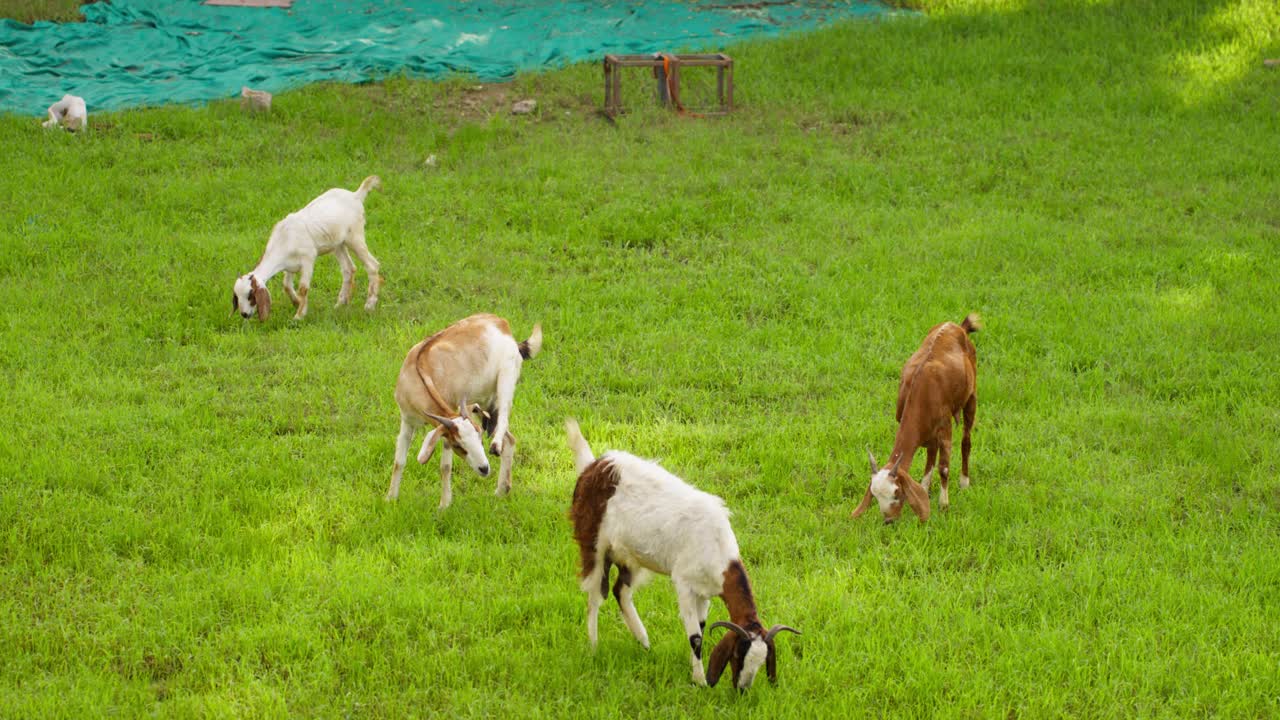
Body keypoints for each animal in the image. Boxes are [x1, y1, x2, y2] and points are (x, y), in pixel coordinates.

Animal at [231, 176, 383, 322]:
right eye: (237, 296)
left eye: (251, 295)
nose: (244, 314)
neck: (284, 238)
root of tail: (355, 195)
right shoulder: (290, 265)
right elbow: (286, 285)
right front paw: (297, 302)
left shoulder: (308, 258)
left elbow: (303, 288)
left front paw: (299, 316)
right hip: (338, 244)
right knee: (348, 269)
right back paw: (340, 304)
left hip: (355, 237)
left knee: (372, 265)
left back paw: (369, 305)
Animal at [386, 314, 542, 509]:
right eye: (459, 445)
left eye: (479, 439)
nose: (484, 468)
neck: (419, 370)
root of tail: (500, 323)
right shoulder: (407, 421)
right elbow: (399, 461)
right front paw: (390, 499)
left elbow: (445, 467)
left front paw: (444, 505)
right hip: (485, 404)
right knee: (510, 438)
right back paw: (501, 491)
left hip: (505, 383)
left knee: (504, 423)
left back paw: (495, 447)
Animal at [566, 420, 799, 690]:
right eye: (738, 654)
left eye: (762, 662)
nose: (742, 689)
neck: (717, 546)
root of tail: (593, 466)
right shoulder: (684, 584)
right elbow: (695, 636)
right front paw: (700, 681)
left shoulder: (705, 592)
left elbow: (701, 626)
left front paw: (695, 670)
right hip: (594, 543)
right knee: (595, 595)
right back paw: (594, 647)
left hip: (630, 556)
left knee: (620, 591)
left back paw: (644, 641)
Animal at [854, 313, 981, 523]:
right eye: (875, 495)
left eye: (897, 492)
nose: (889, 521)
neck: (922, 390)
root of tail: (957, 326)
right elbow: (930, 457)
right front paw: (924, 490)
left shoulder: (945, 427)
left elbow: (943, 467)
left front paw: (943, 506)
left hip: (971, 395)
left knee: (966, 440)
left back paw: (964, 482)